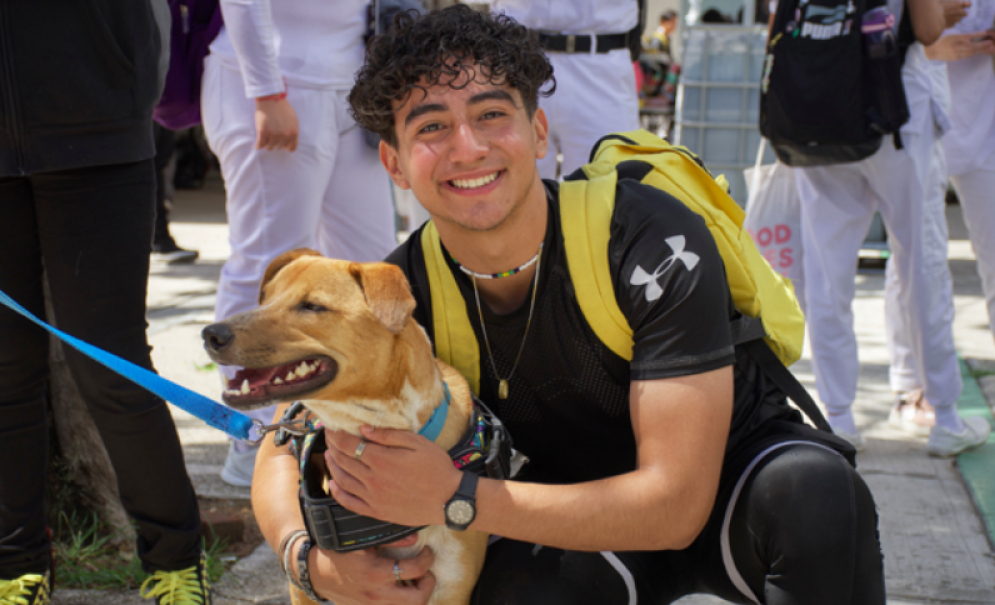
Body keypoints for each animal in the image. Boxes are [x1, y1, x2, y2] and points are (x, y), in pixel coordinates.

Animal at [203, 248, 490, 600]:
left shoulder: (452, 586)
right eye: (265, 298)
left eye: (312, 306)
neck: (378, 421)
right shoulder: (309, 586)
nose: (211, 334)